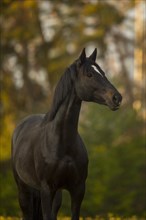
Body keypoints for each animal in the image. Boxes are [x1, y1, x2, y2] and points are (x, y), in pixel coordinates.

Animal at [11, 48, 122, 220]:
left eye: (103, 72)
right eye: (89, 74)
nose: (117, 98)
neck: (61, 143)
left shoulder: (78, 189)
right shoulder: (46, 190)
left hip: (57, 194)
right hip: (24, 189)